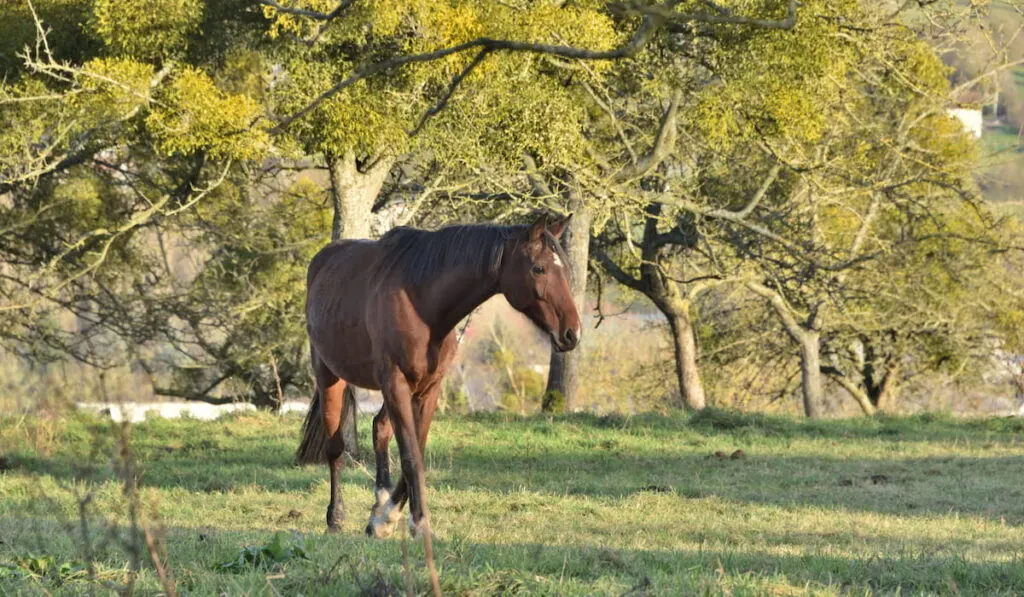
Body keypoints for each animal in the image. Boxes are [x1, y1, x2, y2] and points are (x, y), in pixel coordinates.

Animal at [296, 216, 585, 540]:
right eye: (539, 268)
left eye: (566, 269)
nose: (572, 333)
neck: (422, 304)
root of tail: (323, 259)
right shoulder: (396, 383)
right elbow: (410, 457)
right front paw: (416, 524)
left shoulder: (428, 389)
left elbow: (416, 452)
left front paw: (388, 518)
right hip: (330, 375)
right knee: (335, 448)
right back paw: (336, 517)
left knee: (379, 428)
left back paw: (378, 504)